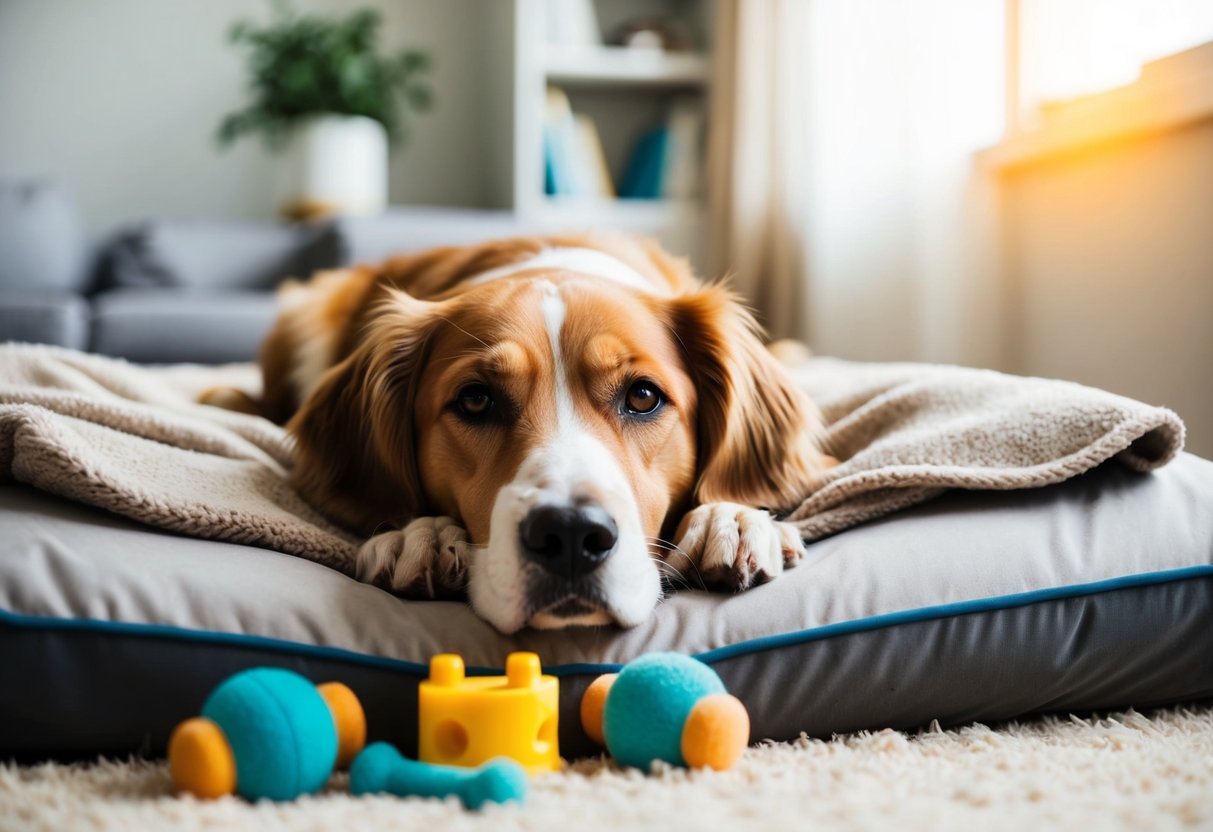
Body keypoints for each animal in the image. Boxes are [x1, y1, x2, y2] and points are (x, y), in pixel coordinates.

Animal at [206, 231, 834, 635]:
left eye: (643, 396)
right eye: (476, 399)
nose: (571, 536)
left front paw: (731, 518)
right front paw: (422, 534)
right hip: (304, 316)